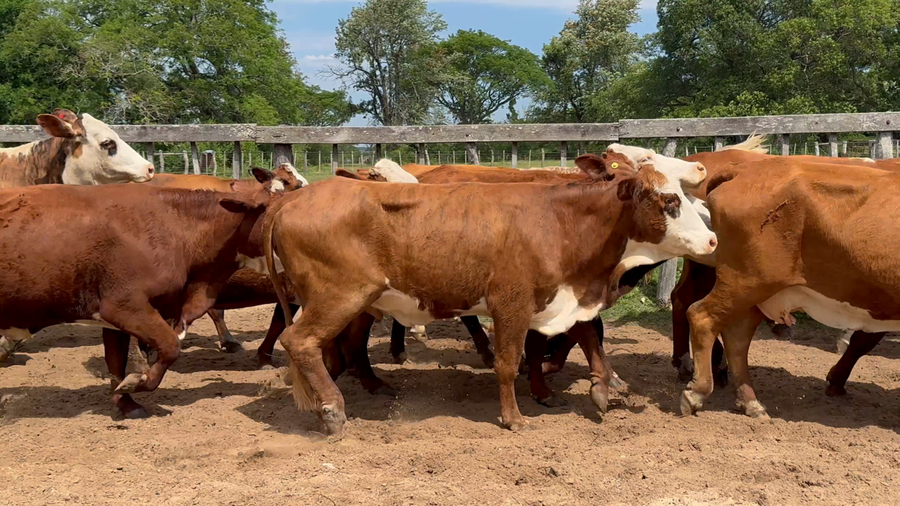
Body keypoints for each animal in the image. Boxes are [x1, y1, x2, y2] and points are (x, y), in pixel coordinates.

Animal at [0, 175, 280, 418]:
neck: (176, 227)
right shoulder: (125, 307)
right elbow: (170, 347)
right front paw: (137, 381)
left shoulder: (115, 318)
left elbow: (115, 363)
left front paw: (126, 402)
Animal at [263, 155, 717, 436]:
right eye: (670, 200)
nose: (713, 239)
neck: (558, 220)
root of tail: (292, 201)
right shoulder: (511, 304)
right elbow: (508, 362)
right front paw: (514, 416)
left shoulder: (560, 297)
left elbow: (590, 339)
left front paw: (602, 388)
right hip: (339, 298)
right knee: (299, 341)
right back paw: (333, 409)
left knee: (333, 345)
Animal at [679, 157, 900, 419]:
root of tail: (745, 169)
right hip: (746, 281)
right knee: (701, 315)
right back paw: (697, 392)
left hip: (754, 290)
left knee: (736, 336)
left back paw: (750, 402)